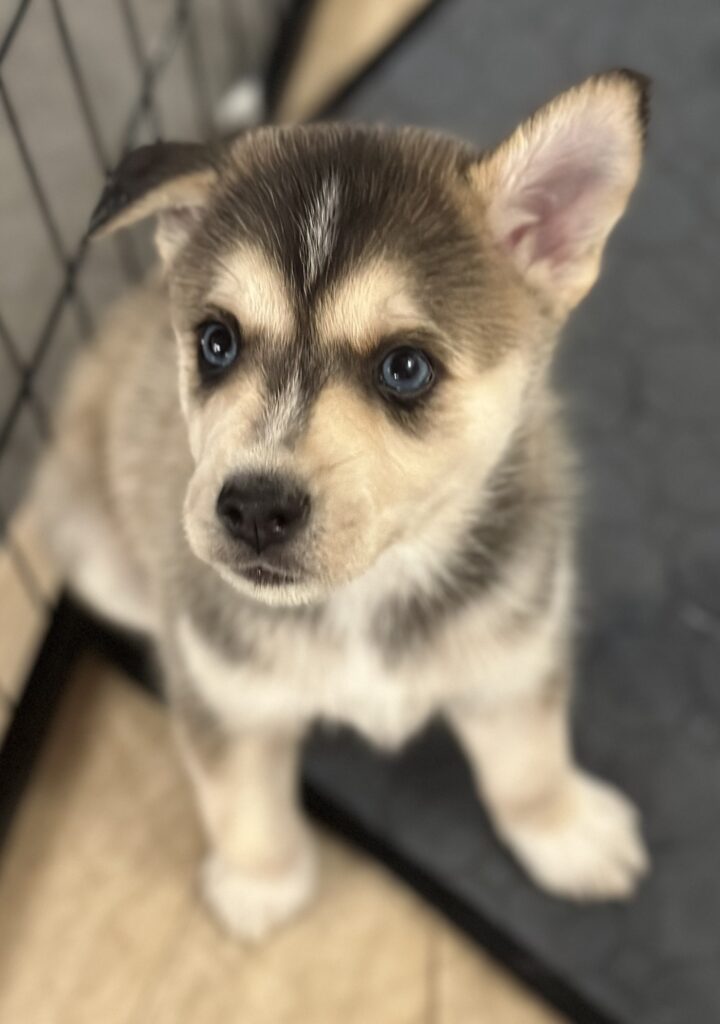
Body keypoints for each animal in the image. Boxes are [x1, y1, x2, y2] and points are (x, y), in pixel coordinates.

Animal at [36, 70, 651, 937]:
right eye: (216, 342)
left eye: (406, 367)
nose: (253, 507)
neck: (369, 592)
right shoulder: (225, 695)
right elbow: (239, 798)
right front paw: (261, 883)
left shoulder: (512, 652)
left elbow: (529, 760)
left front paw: (565, 832)